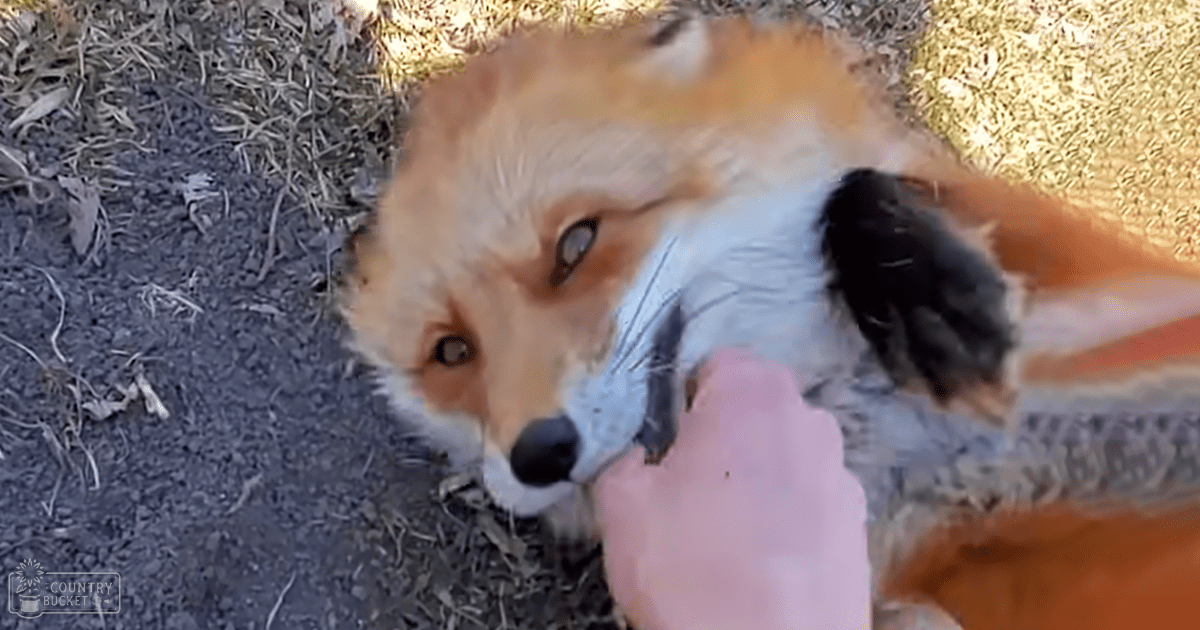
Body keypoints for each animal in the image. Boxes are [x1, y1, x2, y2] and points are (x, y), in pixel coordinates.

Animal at [338, 10, 1200, 630]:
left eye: (576, 244)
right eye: (452, 352)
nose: (542, 452)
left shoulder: (1117, 287)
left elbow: (861, 186)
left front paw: (931, 295)